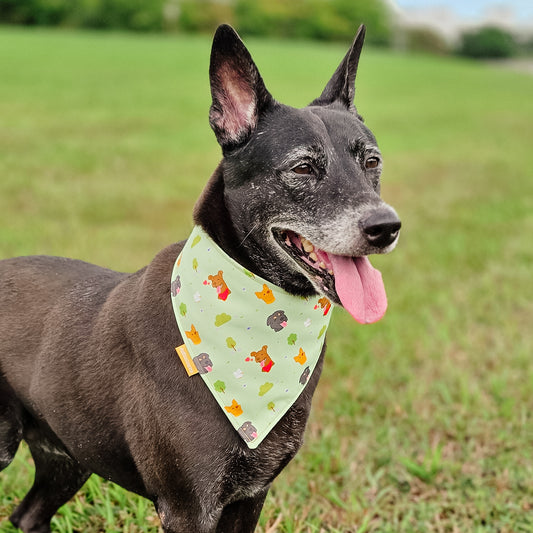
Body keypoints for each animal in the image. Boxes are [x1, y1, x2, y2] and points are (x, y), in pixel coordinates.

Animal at [0, 23, 400, 532]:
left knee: (28, 514)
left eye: (372, 161)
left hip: (67, 457)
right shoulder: (189, 507)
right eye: (303, 167)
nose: (386, 227)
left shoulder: (250, 495)